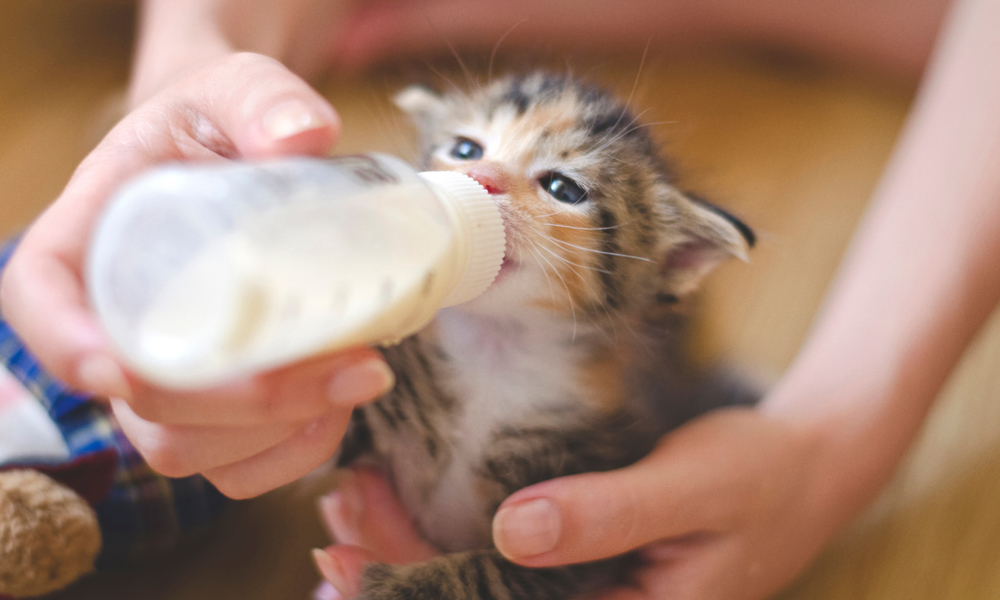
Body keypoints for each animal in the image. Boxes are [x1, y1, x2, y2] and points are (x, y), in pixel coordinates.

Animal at [332, 74, 752, 600]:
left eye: (562, 188)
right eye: (466, 149)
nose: (481, 177)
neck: (495, 346)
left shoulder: (588, 537)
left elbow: (498, 573)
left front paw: (399, 587)